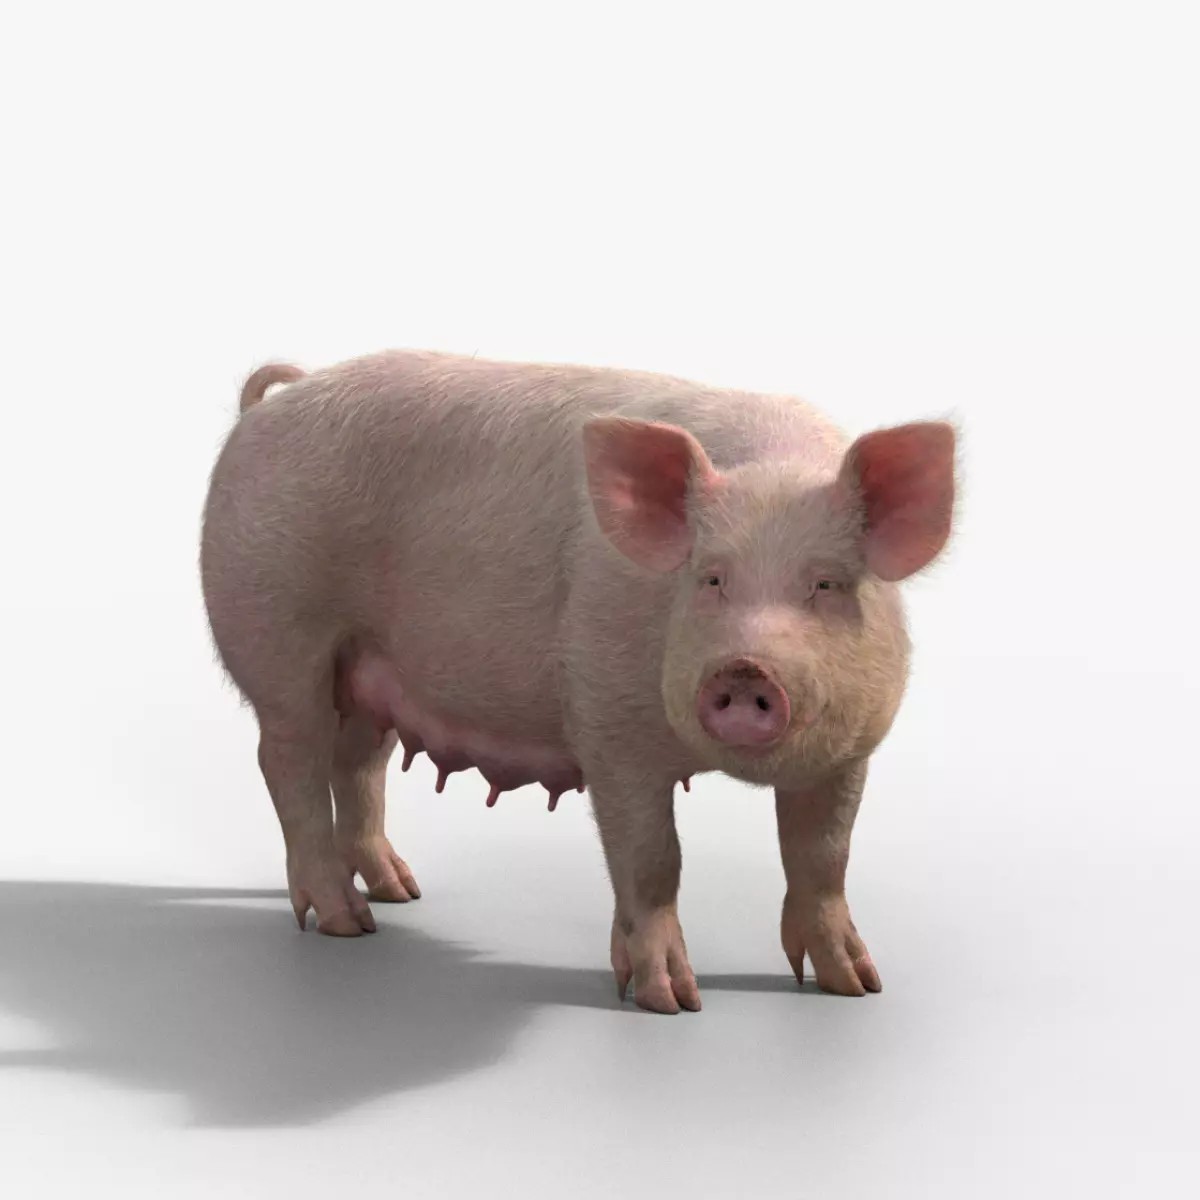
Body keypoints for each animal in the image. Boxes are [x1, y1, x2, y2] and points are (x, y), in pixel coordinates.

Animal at [200, 350, 955, 1014]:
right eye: (709, 578)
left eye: (826, 584)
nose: (745, 670)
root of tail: (277, 400)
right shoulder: (608, 721)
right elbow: (652, 858)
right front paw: (670, 1002)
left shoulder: (852, 750)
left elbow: (823, 857)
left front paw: (858, 987)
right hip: (277, 632)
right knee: (288, 762)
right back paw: (346, 923)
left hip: (370, 671)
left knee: (358, 765)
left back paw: (401, 893)